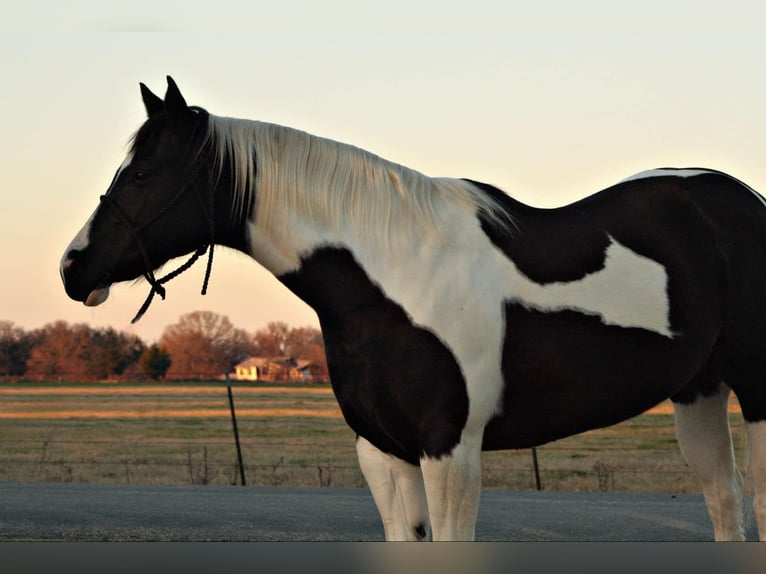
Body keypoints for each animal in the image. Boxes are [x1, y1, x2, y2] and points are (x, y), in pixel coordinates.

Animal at [60, 77, 766, 544]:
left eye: (143, 174)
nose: (73, 268)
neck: (395, 278)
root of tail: (738, 198)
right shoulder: (384, 452)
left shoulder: (450, 451)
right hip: (698, 391)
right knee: (726, 502)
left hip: (755, 395)